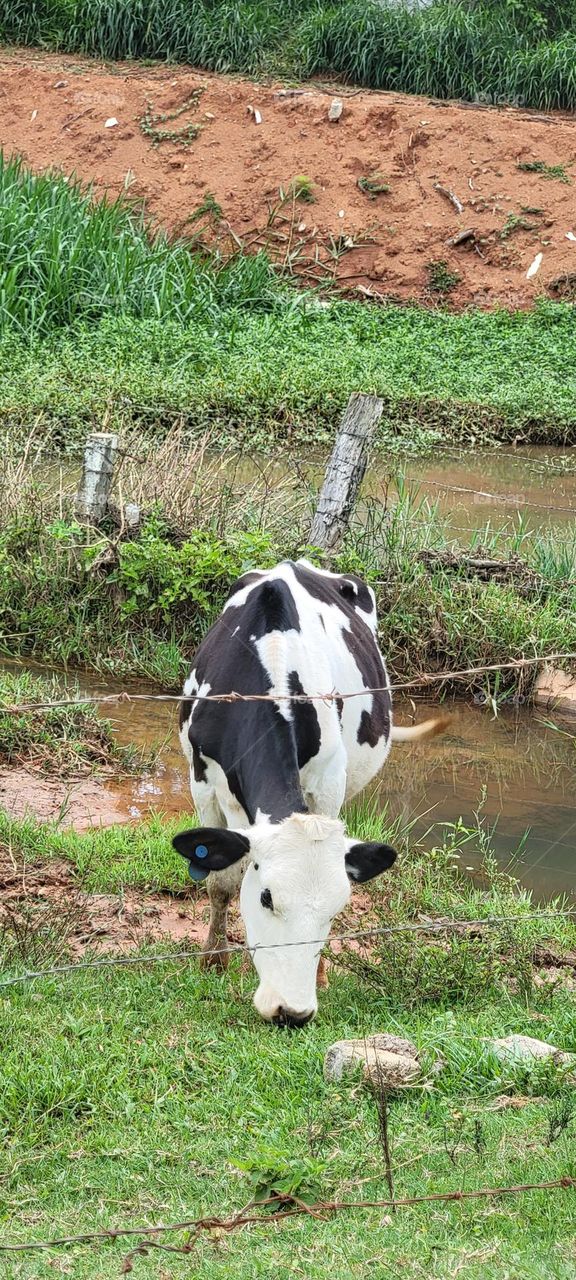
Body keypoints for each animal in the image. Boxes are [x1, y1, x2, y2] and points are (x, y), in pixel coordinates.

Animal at [174, 559, 447, 1026]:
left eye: (337, 907)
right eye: (266, 897)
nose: (292, 1011)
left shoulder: (329, 782)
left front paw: (319, 975)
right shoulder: (202, 782)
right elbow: (219, 882)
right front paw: (214, 959)